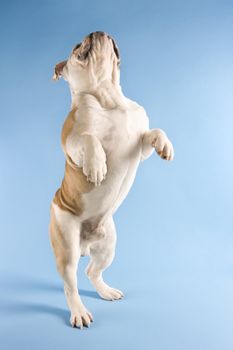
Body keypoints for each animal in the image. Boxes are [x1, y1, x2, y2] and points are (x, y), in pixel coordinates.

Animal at [49, 30, 174, 328]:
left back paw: (106, 292)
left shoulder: (139, 146)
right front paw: (97, 166)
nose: (97, 31)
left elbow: (153, 132)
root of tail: (84, 245)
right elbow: (88, 138)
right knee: (70, 283)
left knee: (92, 271)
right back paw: (79, 312)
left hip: (108, 246)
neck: (109, 96)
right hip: (67, 243)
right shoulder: (72, 141)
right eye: (77, 46)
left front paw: (165, 145)